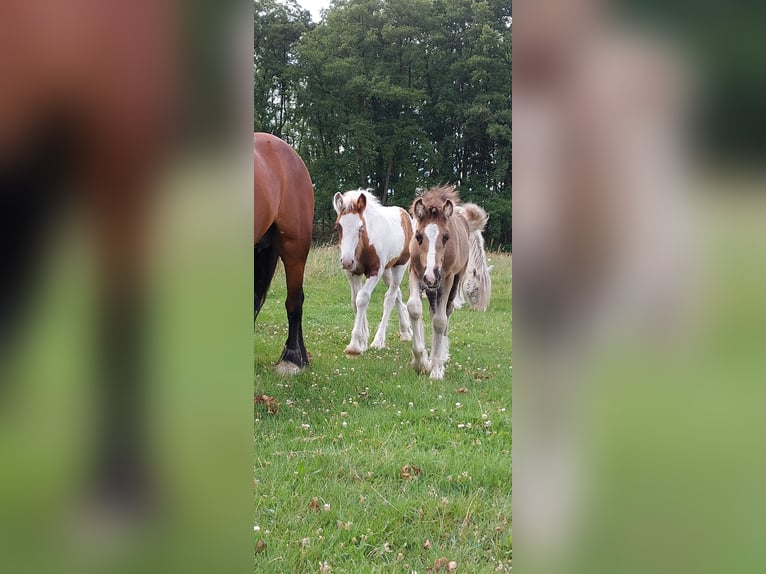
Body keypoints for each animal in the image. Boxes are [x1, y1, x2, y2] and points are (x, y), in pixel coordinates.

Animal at [334, 189, 414, 356]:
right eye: (338, 226)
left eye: (360, 227)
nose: (346, 261)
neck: (364, 244)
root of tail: (405, 214)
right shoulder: (352, 273)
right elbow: (355, 300)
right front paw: (362, 339)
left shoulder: (375, 271)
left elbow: (362, 298)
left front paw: (355, 344)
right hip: (387, 271)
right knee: (397, 294)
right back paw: (405, 331)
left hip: (399, 267)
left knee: (390, 297)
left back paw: (379, 341)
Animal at [408, 187, 486, 380]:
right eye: (418, 236)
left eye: (446, 237)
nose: (432, 275)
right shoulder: (416, 273)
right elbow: (414, 308)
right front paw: (420, 362)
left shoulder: (446, 279)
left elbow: (440, 321)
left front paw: (436, 369)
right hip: (430, 287)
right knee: (432, 310)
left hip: (454, 279)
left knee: (446, 312)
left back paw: (441, 357)